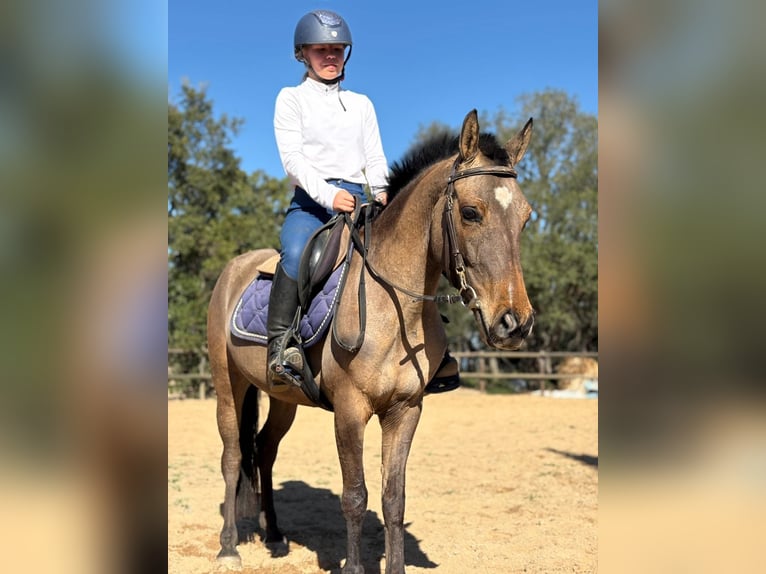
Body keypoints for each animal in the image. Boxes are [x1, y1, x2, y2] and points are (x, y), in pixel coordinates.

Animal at [207, 109, 535, 574]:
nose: (515, 323)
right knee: (233, 455)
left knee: (265, 450)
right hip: (227, 384)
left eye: (526, 217)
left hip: (284, 398)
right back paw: (229, 546)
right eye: (471, 212)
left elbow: (392, 497)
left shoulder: (404, 410)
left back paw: (274, 535)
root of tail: (236, 268)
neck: (394, 308)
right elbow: (355, 496)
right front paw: (354, 566)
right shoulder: (349, 410)